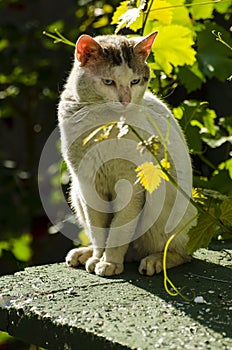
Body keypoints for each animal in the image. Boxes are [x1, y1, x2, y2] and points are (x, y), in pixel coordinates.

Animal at [57, 31, 196, 276]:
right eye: (108, 82)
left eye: (135, 81)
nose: (125, 100)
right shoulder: (87, 184)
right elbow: (99, 230)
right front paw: (97, 258)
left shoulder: (131, 186)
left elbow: (118, 232)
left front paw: (109, 262)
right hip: (75, 192)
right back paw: (84, 254)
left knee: (179, 252)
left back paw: (155, 261)